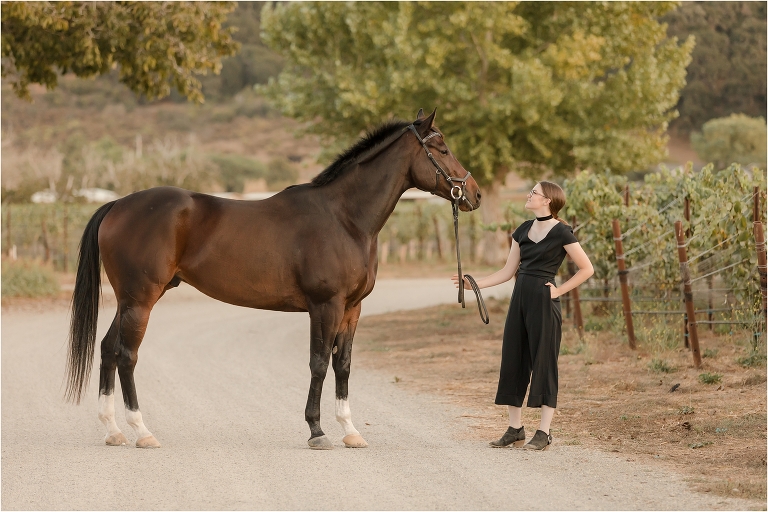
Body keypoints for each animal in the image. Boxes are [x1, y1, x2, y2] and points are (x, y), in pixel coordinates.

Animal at [65, 108, 481, 449]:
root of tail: (117, 205)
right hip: (141, 300)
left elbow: (343, 365)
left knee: (107, 349)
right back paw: (142, 432)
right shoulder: (325, 306)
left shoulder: (352, 309)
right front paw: (317, 431)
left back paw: (113, 431)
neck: (344, 218)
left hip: (128, 301)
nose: (474, 194)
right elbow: (319, 362)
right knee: (126, 355)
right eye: (442, 148)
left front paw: (350, 432)